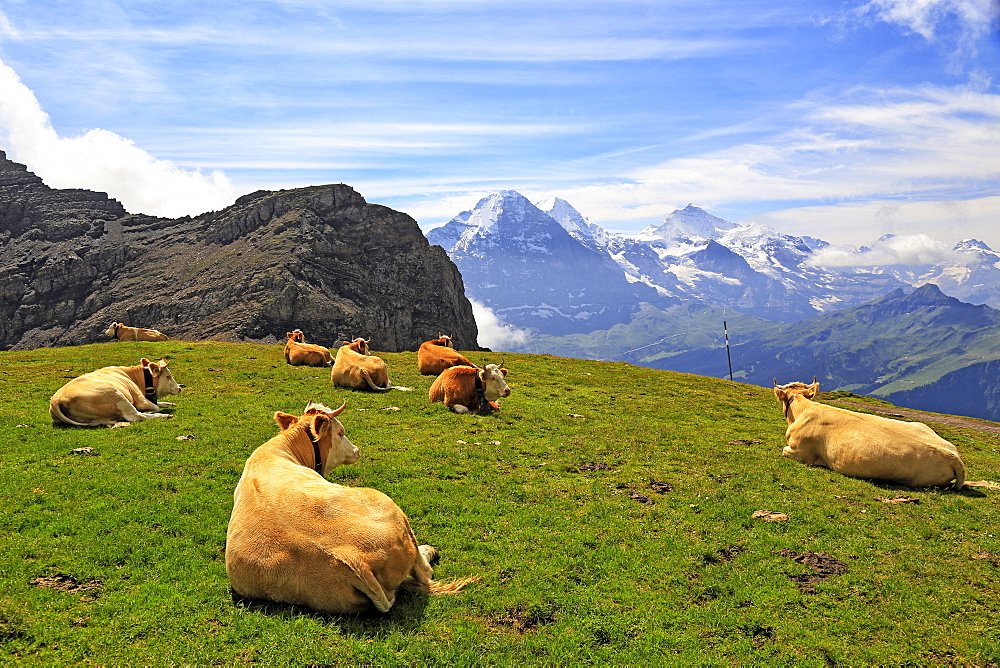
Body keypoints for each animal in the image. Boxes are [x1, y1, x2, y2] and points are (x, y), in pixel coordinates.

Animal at [49, 358, 182, 426]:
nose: (179, 388)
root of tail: (56, 400)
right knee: (136, 416)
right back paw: (163, 415)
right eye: (168, 376)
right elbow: (154, 406)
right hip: (118, 396)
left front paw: (168, 403)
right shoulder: (140, 399)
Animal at [227, 402, 476, 616]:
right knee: (424, 571)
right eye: (340, 432)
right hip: (389, 507)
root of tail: (351, 558)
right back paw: (429, 551)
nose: (356, 450)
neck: (280, 451)